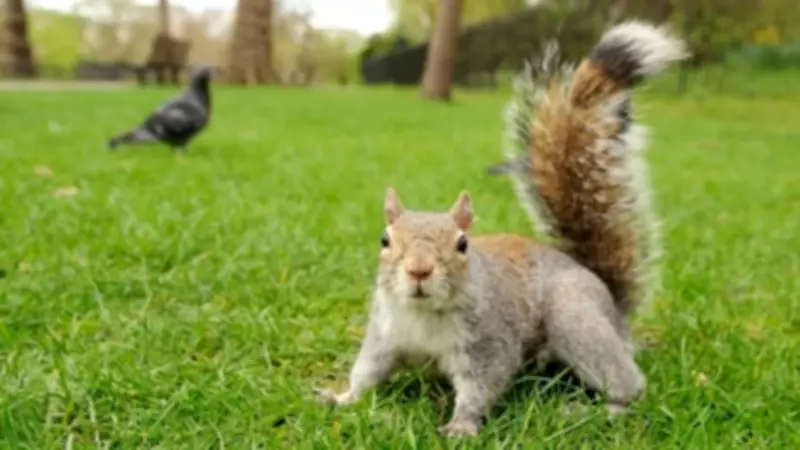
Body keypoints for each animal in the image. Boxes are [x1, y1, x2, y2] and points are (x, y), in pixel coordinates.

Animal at [316, 20, 688, 438]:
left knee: (629, 383)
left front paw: (461, 426)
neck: (426, 315)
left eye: (462, 244)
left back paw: (602, 408)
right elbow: (366, 372)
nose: (419, 271)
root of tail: (610, 300)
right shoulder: (384, 335)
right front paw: (341, 398)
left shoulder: (490, 343)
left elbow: (481, 385)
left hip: (574, 316)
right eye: (384, 240)